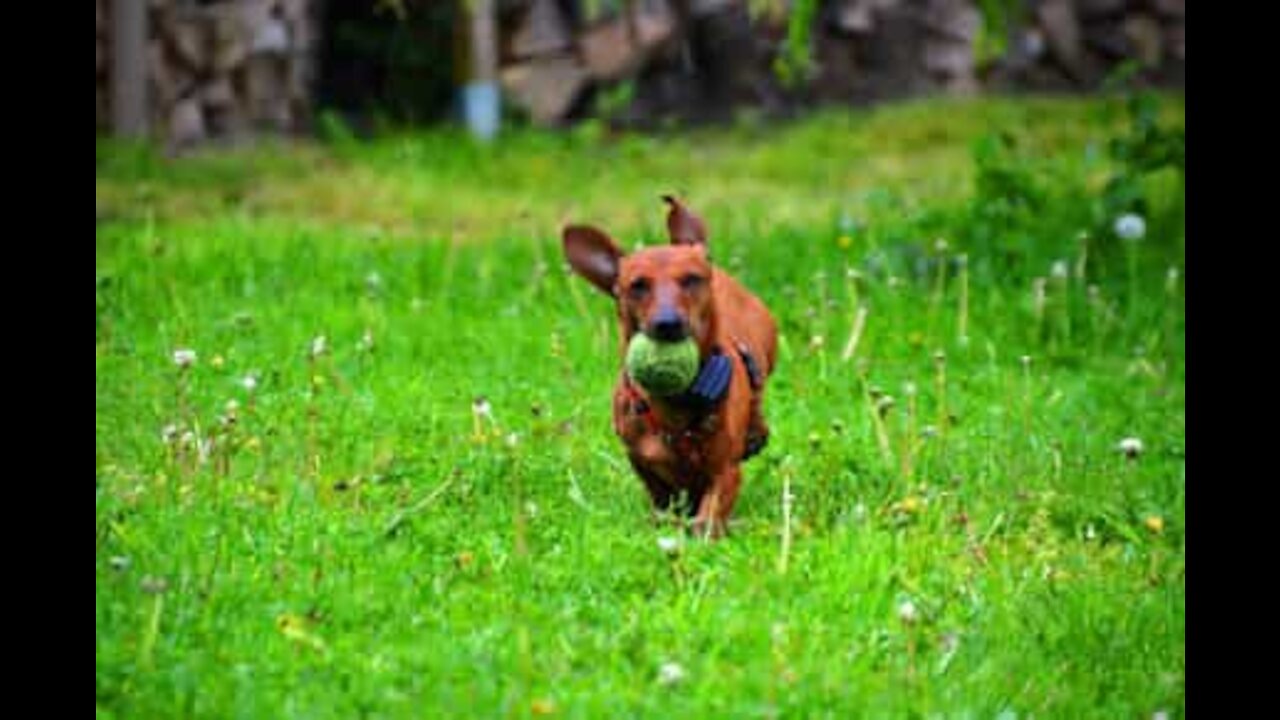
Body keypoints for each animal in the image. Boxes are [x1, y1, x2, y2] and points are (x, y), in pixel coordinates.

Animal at [563, 194, 778, 532]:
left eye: (691, 279)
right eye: (637, 285)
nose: (668, 324)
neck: (676, 404)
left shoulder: (725, 472)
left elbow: (707, 517)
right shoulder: (645, 465)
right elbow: (663, 502)